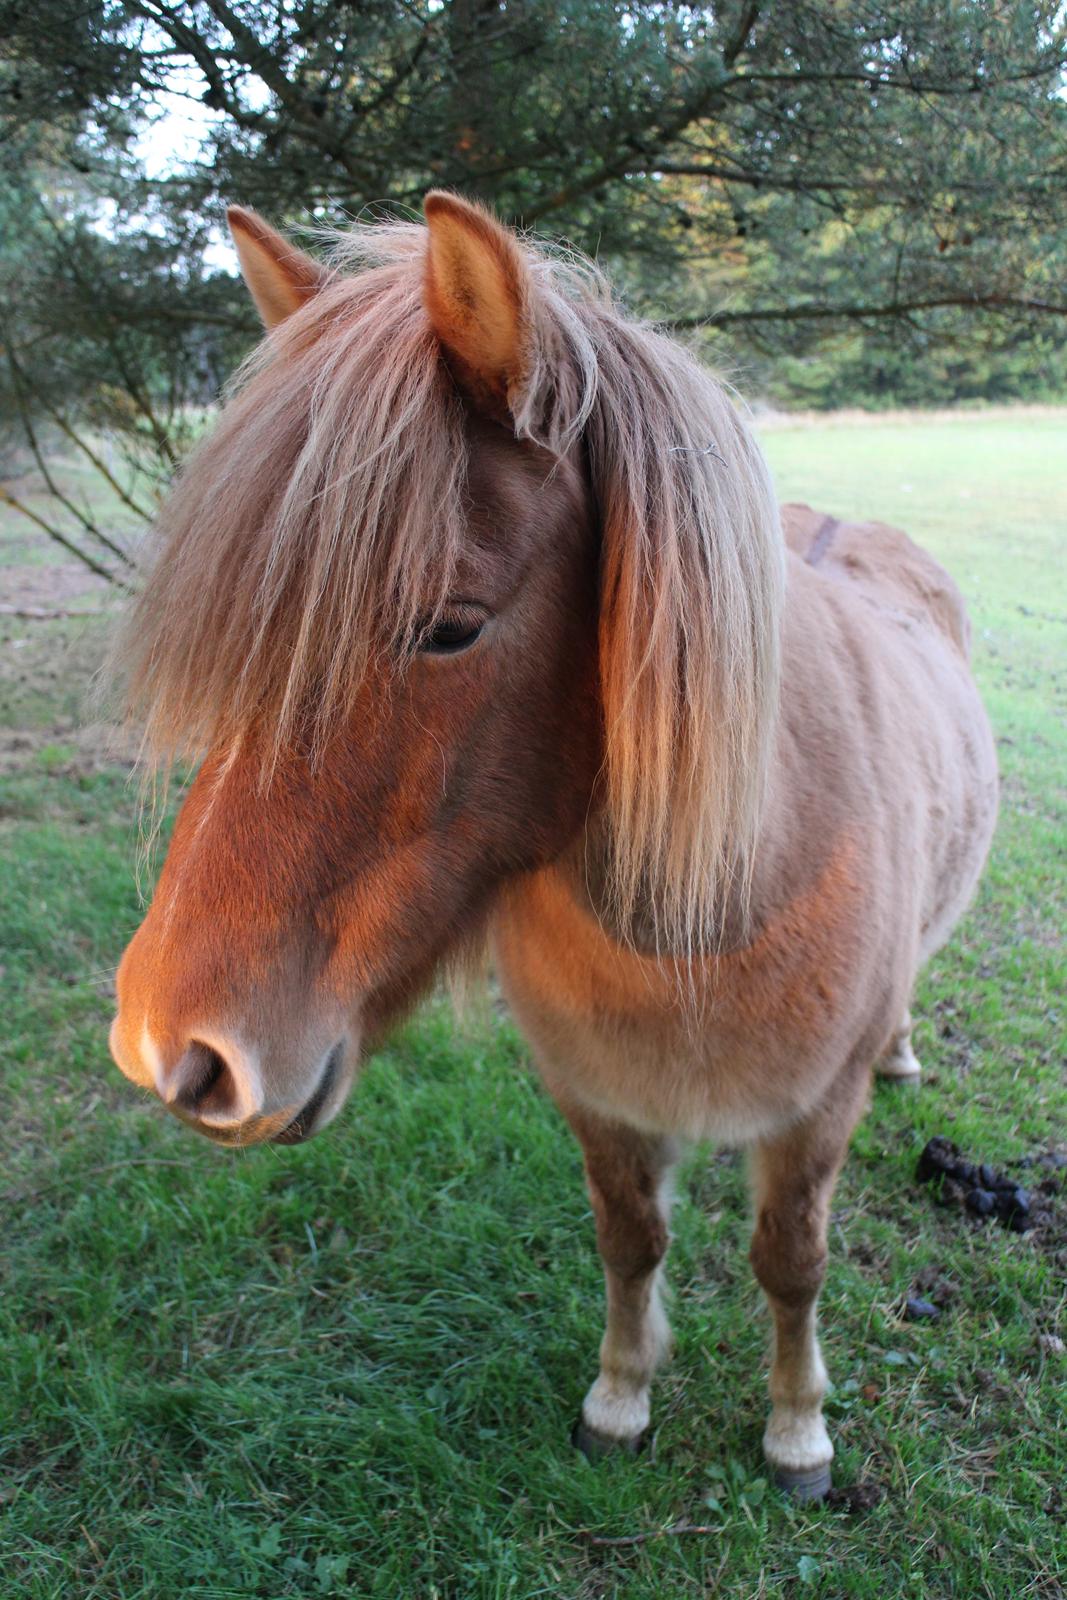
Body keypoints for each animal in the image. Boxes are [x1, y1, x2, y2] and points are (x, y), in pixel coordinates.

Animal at [103, 196, 998, 1497]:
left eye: (449, 628)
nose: (171, 1048)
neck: (711, 912)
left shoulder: (811, 1115)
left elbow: (789, 1260)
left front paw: (795, 1428)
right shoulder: (594, 1097)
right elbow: (629, 1240)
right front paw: (619, 1398)